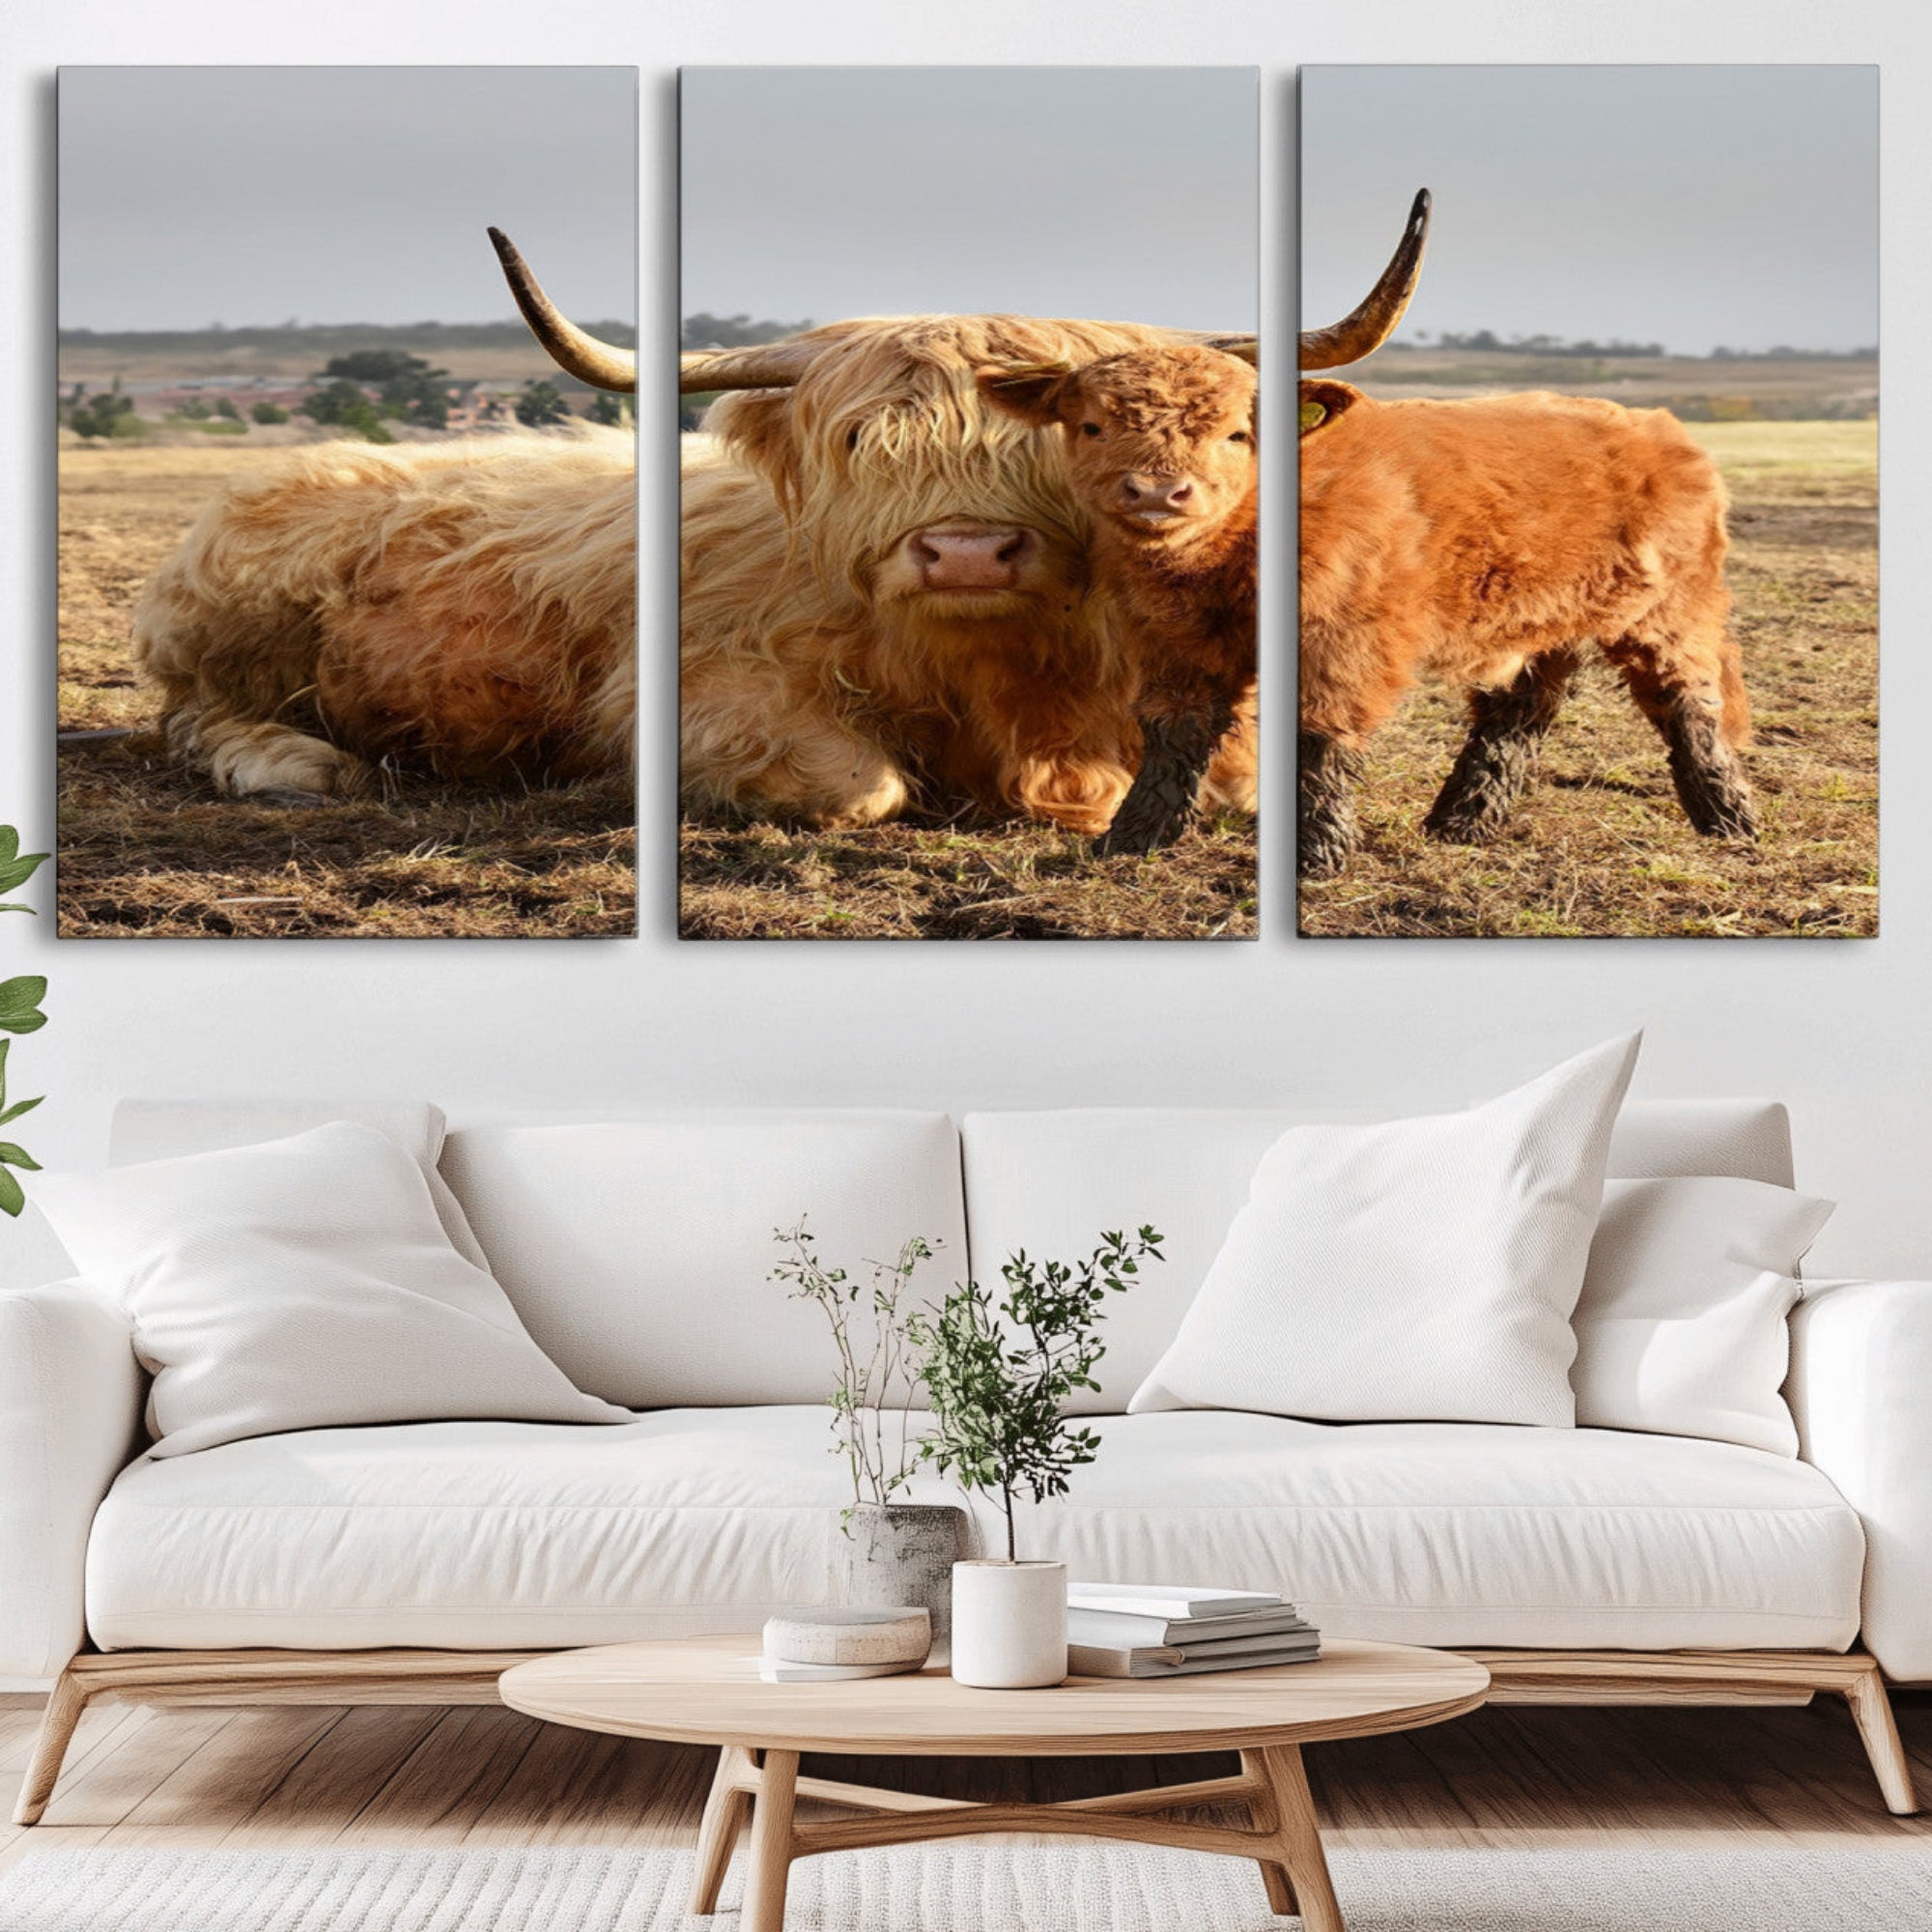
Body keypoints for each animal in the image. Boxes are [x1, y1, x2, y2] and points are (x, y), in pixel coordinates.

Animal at [1297, 191, 1758, 875]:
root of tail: (1662, 426)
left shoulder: (1341, 642)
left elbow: (1316, 740)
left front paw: (1318, 854)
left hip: (1671, 610)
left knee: (1689, 702)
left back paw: (1731, 821)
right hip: (1543, 617)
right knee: (1519, 714)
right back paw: (1463, 821)